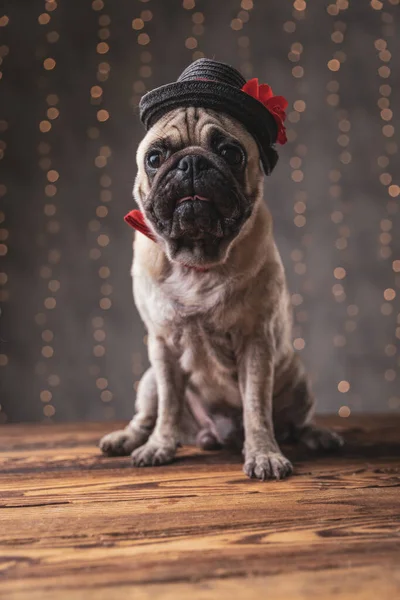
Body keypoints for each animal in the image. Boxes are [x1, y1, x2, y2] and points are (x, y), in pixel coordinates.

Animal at [100, 61, 344, 480]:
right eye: (154, 158)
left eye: (230, 153)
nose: (192, 162)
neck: (199, 258)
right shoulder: (162, 347)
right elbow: (169, 406)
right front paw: (159, 446)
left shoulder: (256, 343)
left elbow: (256, 408)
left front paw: (263, 453)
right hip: (148, 380)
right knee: (148, 414)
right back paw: (128, 439)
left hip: (298, 378)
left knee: (297, 422)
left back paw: (318, 436)